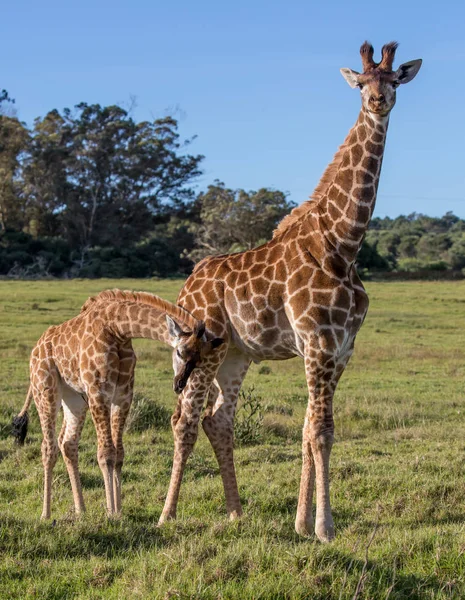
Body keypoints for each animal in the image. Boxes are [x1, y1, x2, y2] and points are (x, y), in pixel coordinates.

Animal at [13, 290, 224, 520]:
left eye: (199, 362)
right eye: (179, 352)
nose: (179, 385)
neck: (117, 328)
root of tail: (36, 349)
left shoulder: (123, 396)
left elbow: (119, 454)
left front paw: (118, 511)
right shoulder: (98, 392)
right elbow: (105, 454)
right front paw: (110, 513)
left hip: (74, 398)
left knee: (67, 443)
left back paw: (81, 511)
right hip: (45, 390)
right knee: (48, 446)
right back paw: (46, 514)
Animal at [159, 39, 420, 540]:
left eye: (394, 79)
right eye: (361, 82)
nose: (378, 101)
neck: (343, 243)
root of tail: (185, 289)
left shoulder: (341, 349)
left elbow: (310, 429)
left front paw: (301, 523)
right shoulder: (318, 343)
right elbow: (320, 431)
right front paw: (324, 528)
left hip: (236, 353)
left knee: (218, 419)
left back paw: (236, 512)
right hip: (202, 350)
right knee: (184, 419)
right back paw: (167, 515)